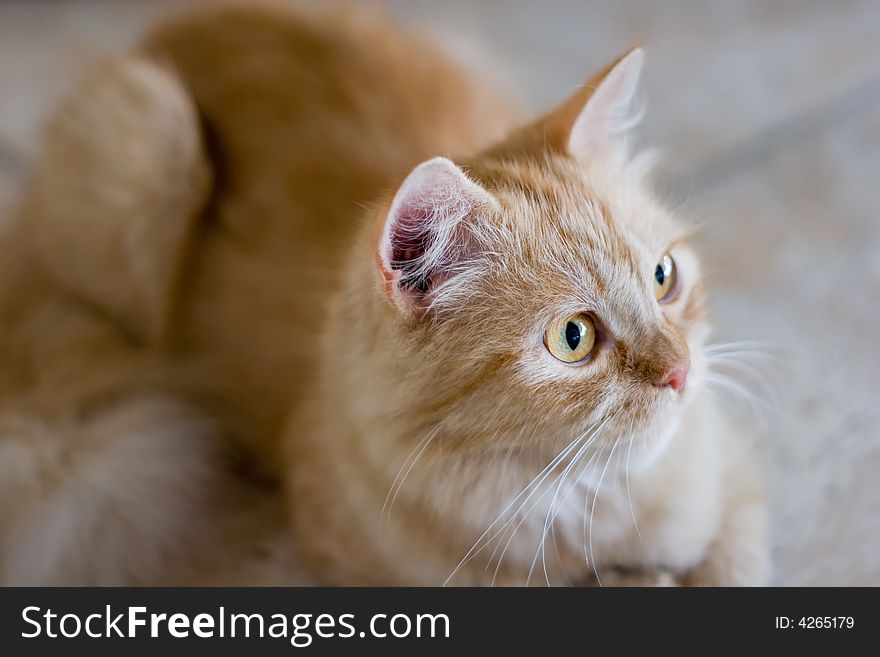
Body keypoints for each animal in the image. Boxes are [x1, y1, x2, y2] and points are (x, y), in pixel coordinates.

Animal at [0, 0, 768, 584]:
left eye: (664, 278)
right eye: (572, 338)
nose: (681, 371)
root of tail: (185, 18)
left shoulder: (733, 486)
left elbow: (726, 567)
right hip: (148, 146)